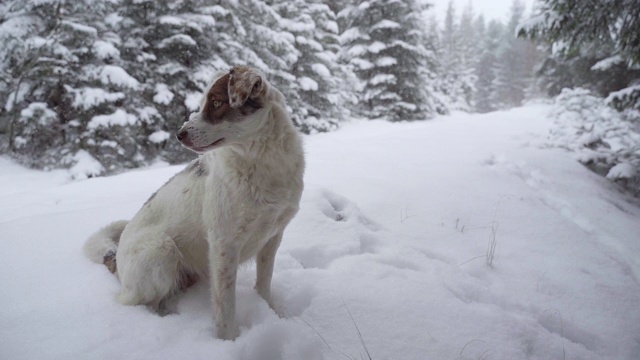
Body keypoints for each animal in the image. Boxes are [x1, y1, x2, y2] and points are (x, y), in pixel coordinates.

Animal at [83, 65, 304, 340]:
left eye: (217, 103)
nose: (179, 135)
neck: (263, 161)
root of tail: (117, 258)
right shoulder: (223, 244)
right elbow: (225, 305)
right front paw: (229, 340)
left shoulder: (272, 237)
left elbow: (263, 283)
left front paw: (271, 312)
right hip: (162, 251)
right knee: (139, 303)